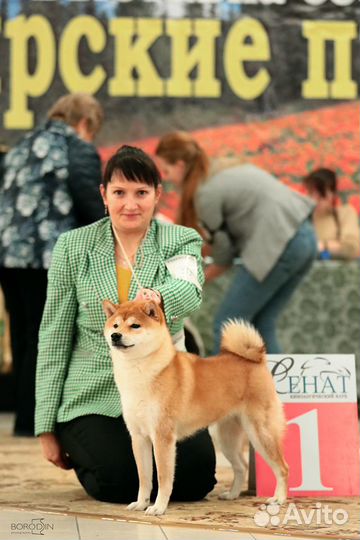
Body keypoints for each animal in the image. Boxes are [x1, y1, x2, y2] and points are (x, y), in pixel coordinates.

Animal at [102, 300, 288, 516]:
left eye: (135, 326)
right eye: (115, 325)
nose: (115, 336)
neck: (140, 374)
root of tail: (255, 360)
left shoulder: (162, 437)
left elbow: (163, 478)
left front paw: (158, 507)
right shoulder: (139, 437)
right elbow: (144, 478)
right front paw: (141, 503)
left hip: (260, 433)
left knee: (283, 468)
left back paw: (279, 499)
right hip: (225, 437)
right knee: (241, 466)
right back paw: (232, 494)